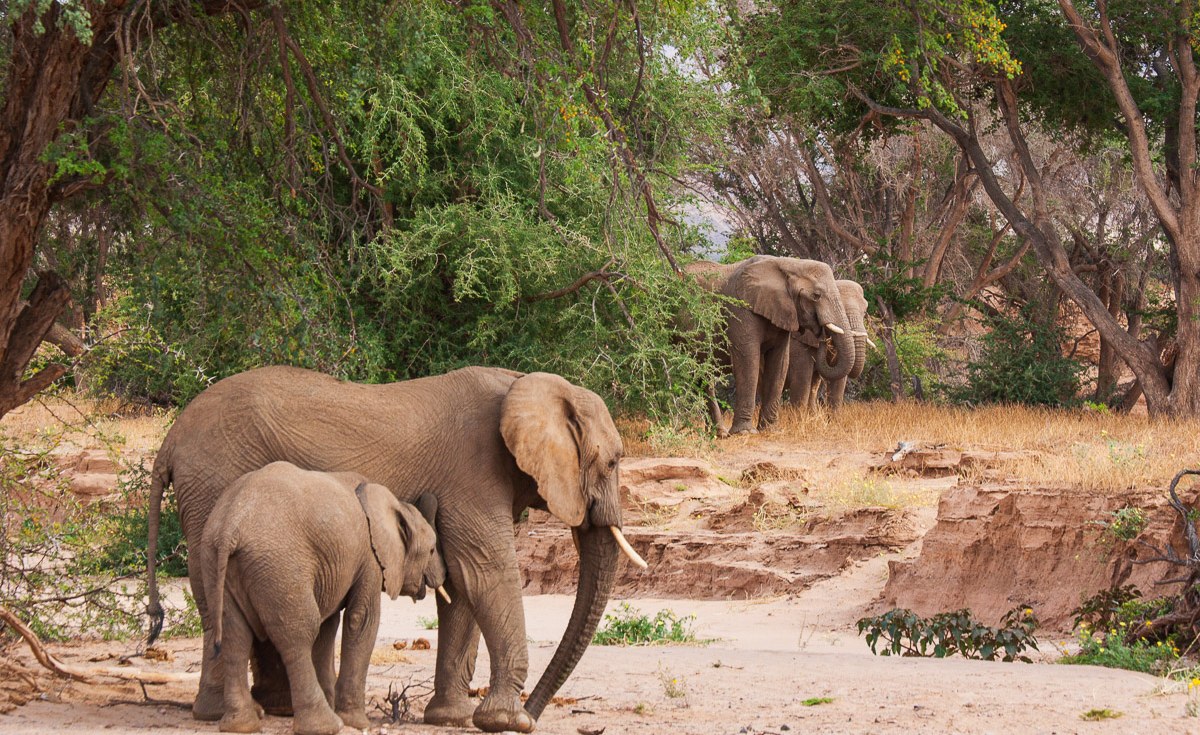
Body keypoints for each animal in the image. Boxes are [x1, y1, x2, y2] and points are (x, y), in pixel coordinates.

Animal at [202, 461, 446, 735]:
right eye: (432, 550)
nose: (442, 575)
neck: (392, 504)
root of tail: (230, 526)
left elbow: (328, 626)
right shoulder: (370, 558)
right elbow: (361, 620)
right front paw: (356, 722)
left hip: (215, 560)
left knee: (235, 635)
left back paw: (242, 724)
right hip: (280, 565)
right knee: (298, 635)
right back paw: (325, 725)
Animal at [684, 255, 855, 435]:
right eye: (816, 295)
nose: (823, 336)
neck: (790, 264)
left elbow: (779, 363)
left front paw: (771, 430)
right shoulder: (741, 309)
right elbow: (748, 360)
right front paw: (745, 433)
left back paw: (719, 434)